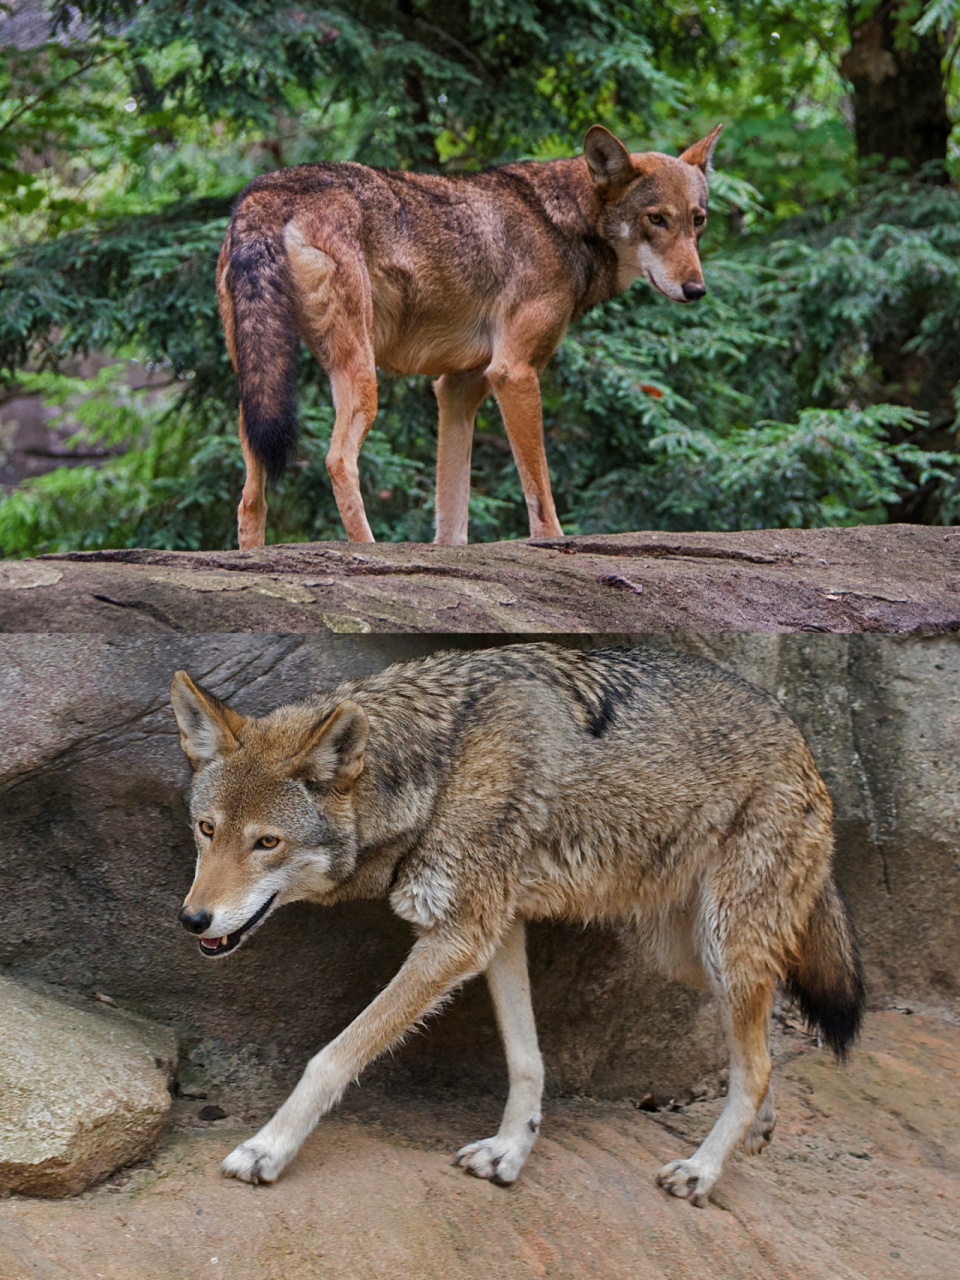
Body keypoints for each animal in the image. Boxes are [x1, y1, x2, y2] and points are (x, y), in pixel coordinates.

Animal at [167, 645, 865, 1203]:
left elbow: (332, 1056)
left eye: (267, 843)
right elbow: (526, 1059)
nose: (192, 919)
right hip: (685, 955)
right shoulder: (495, 931)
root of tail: (802, 742)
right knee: (761, 1041)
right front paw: (510, 1152)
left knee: (756, 1062)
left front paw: (267, 1149)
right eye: (207, 829)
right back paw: (758, 1130)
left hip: (719, 947)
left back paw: (702, 1170)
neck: (440, 772)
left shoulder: (456, 938)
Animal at [217, 122, 727, 552]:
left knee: (249, 497)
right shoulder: (513, 373)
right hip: (360, 379)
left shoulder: (458, 388)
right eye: (656, 219)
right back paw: (369, 550)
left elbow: (452, 514)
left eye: (697, 220)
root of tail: (267, 193)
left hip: (258, 389)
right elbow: (541, 499)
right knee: (338, 460)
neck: (561, 221)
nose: (696, 290)